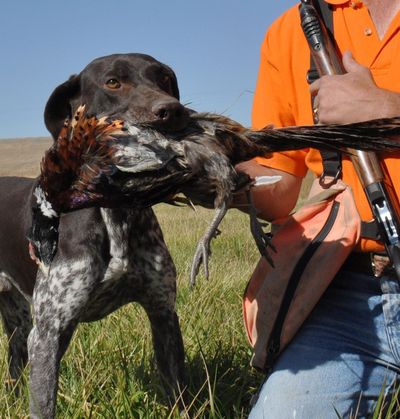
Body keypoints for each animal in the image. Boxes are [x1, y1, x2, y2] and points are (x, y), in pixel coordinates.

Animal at [0, 54, 188, 418]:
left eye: (164, 79)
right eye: (112, 82)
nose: (171, 111)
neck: (115, 213)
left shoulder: (163, 313)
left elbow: (178, 392)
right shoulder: (48, 333)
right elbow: (43, 404)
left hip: (18, 319)